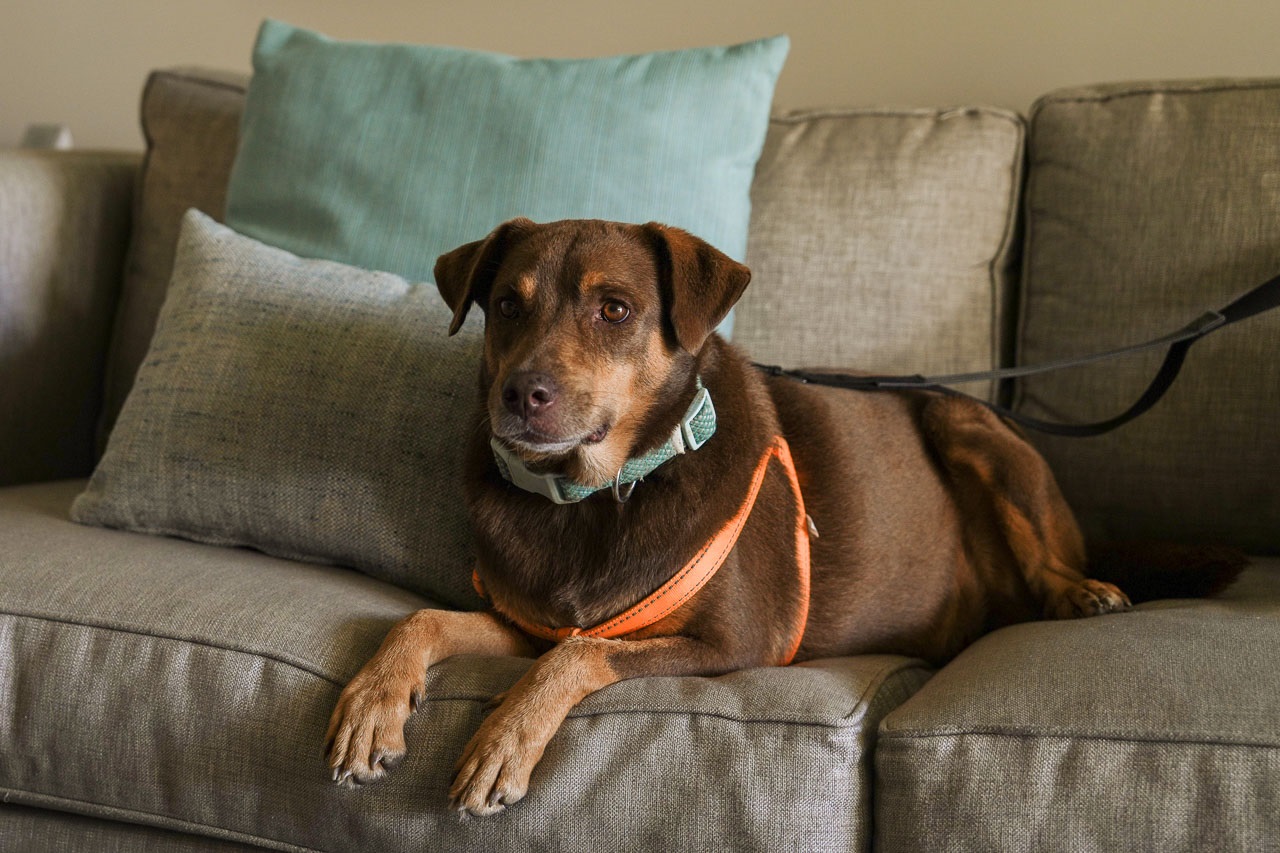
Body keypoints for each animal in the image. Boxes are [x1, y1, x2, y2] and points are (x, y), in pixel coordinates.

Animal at [322, 216, 1239, 814]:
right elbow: (426, 618)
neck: (598, 495)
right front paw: (373, 705)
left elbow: (577, 656)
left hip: (964, 422)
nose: (520, 395)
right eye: (506, 305)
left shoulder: (732, 640)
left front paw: (502, 740)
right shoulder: (532, 619)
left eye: (614, 308)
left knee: (1049, 555)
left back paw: (1079, 591)